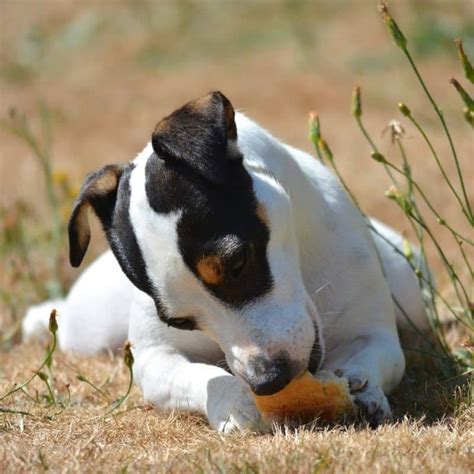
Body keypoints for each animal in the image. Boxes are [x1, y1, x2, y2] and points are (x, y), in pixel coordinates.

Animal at [24, 91, 428, 434]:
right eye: (180, 322)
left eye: (237, 262)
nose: (268, 381)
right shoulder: (154, 358)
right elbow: (199, 377)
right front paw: (233, 402)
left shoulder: (375, 335)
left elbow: (373, 357)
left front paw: (362, 385)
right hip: (90, 330)